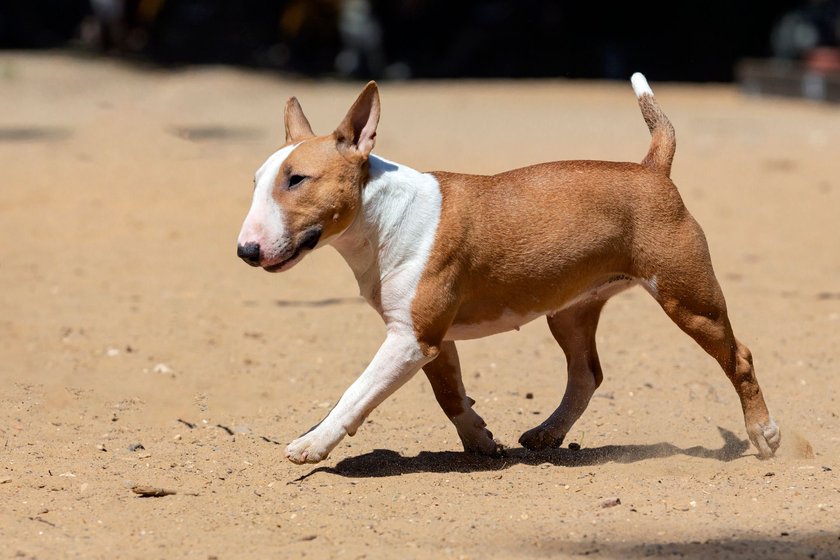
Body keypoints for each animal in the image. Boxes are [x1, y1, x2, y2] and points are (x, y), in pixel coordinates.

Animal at [236, 75, 780, 468]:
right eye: (258, 181)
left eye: (298, 179)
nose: (245, 250)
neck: (381, 215)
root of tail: (652, 169)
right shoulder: (429, 336)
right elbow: (449, 394)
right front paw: (480, 440)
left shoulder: (411, 337)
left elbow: (357, 392)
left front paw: (312, 443)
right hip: (570, 311)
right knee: (587, 374)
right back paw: (547, 433)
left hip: (689, 299)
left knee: (740, 357)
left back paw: (763, 434)